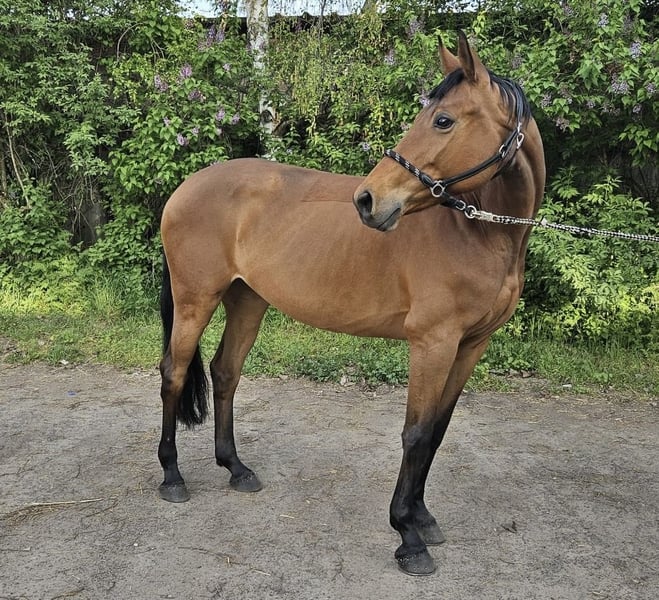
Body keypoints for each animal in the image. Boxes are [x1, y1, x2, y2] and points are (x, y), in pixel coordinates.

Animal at [157, 31, 545, 576]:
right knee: (174, 373)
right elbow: (415, 433)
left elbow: (438, 431)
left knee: (225, 372)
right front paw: (408, 535)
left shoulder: (470, 346)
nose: (367, 200)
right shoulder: (433, 344)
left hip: (247, 302)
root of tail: (185, 188)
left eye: (443, 120)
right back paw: (172, 477)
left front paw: (423, 517)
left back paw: (235, 468)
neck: (479, 234)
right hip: (197, 299)